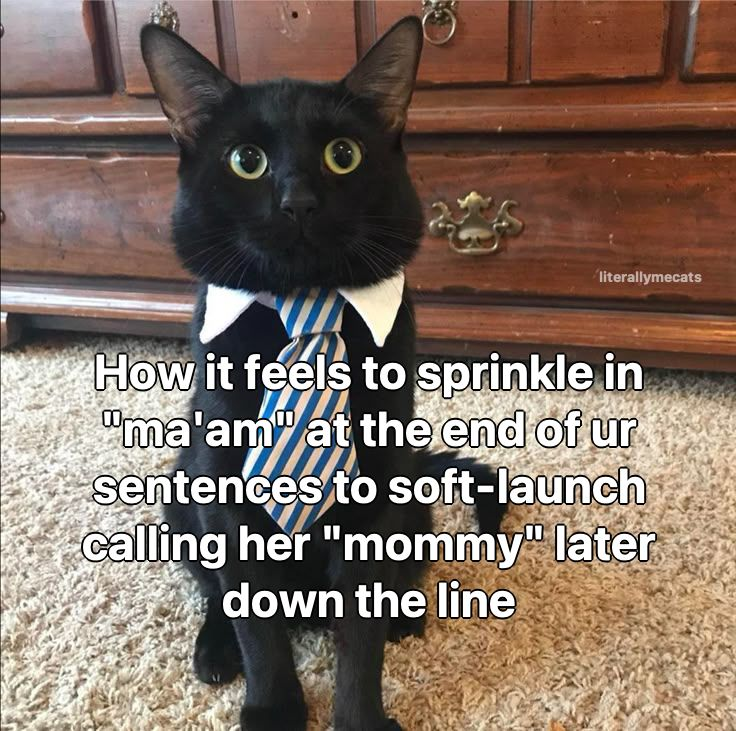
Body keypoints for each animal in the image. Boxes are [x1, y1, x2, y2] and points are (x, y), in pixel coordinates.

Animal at [141, 17, 506, 731]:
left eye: (344, 154)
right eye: (245, 160)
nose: (298, 202)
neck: (302, 305)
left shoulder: (380, 486)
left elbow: (359, 635)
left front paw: (359, 715)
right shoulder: (224, 486)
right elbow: (254, 620)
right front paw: (274, 707)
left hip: (411, 501)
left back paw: (405, 618)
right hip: (182, 489)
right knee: (216, 593)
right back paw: (215, 648)